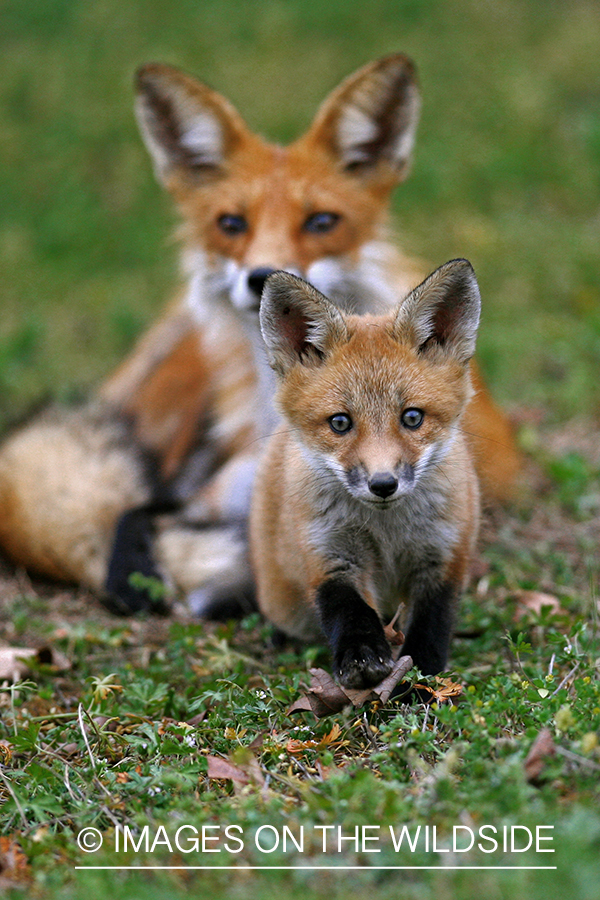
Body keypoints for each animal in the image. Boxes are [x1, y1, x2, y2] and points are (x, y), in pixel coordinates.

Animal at [0, 55, 518, 615]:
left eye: (321, 221)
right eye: (231, 224)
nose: (262, 275)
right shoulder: (216, 495)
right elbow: (133, 514)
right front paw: (134, 575)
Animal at [251, 261, 481, 686]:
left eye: (412, 418)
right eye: (340, 423)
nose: (383, 484)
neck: (386, 531)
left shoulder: (444, 556)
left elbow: (430, 629)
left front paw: (419, 683)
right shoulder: (328, 553)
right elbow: (348, 608)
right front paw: (361, 656)